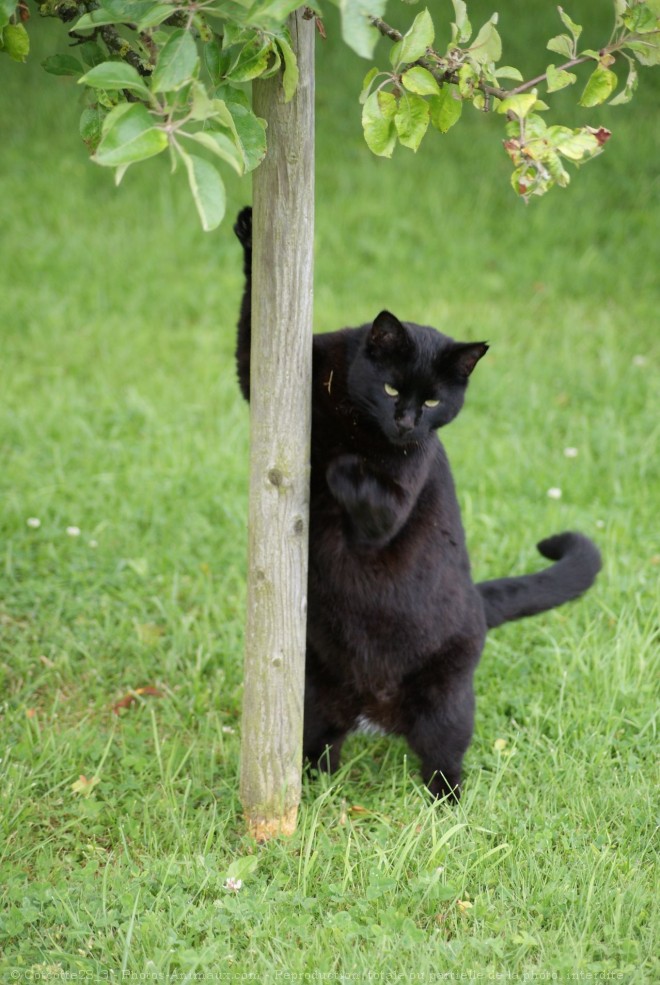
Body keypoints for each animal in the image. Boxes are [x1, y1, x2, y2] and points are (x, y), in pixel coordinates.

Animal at [232, 209, 600, 800]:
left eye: (431, 400)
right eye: (389, 388)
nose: (405, 422)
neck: (357, 422)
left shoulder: (394, 499)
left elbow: (362, 485)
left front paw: (338, 466)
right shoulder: (270, 379)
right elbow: (251, 330)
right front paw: (249, 233)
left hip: (446, 705)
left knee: (446, 758)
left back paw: (445, 803)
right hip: (314, 697)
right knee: (320, 748)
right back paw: (314, 787)